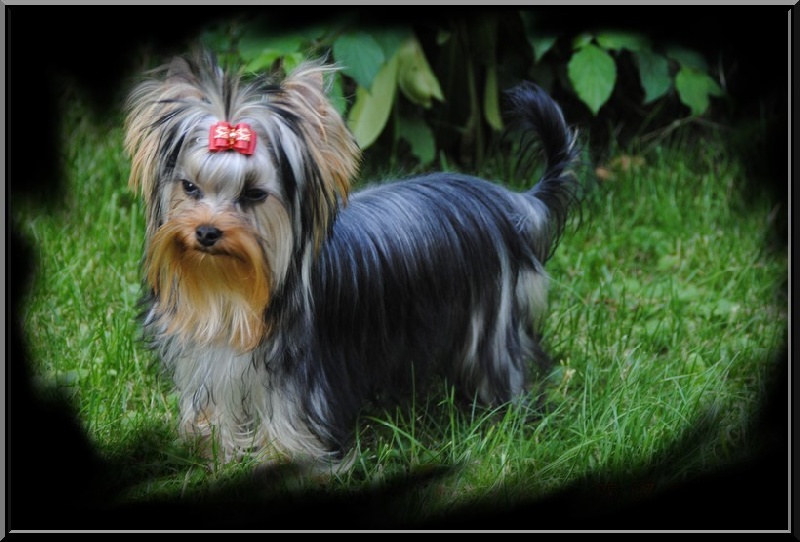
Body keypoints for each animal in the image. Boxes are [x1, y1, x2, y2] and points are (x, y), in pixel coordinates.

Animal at [122, 49, 580, 470]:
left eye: (253, 194)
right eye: (190, 187)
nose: (206, 232)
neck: (235, 293)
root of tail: (505, 199)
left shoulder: (302, 381)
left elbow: (291, 426)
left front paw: (283, 460)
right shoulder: (213, 363)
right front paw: (213, 446)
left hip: (490, 323)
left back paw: (505, 416)